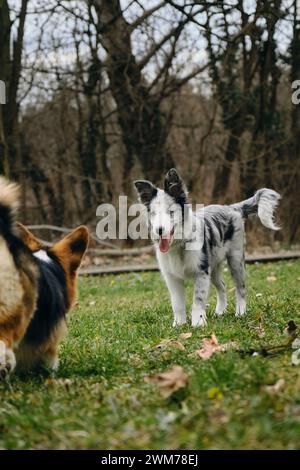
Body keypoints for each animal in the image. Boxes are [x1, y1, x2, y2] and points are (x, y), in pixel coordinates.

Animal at [135, 168, 280, 326]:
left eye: (171, 212)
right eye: (153, 214)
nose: (159, 230)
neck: (179, 245)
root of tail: (232, 207)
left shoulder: (201, 271)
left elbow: (198, 299)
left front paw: (198, 323)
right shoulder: (172, 277)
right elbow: (177, 303)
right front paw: (179, 324)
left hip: (236, 260)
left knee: (241, 288)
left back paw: (240, 312)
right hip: (214, 267)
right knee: (222, 286)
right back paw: (220, 312)